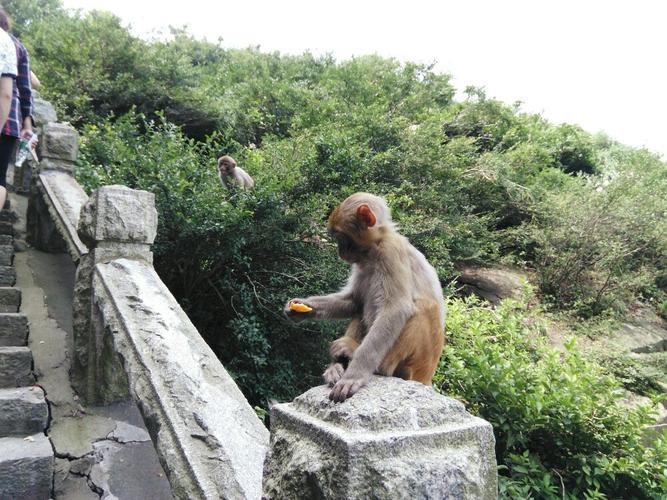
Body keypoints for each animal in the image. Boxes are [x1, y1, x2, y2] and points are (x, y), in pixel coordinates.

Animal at [284, 191, 446, 402]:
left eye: (341, 237)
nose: (340, 252)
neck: (373, 250)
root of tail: (427, 377)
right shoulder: (361, 263)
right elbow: (353, 301)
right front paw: (301, 308)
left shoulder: (390, 252)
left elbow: (396, 308)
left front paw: (355, 375)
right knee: (361, 307)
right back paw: (336, 367)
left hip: (421, 360)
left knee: (424, 307)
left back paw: (372, 362)